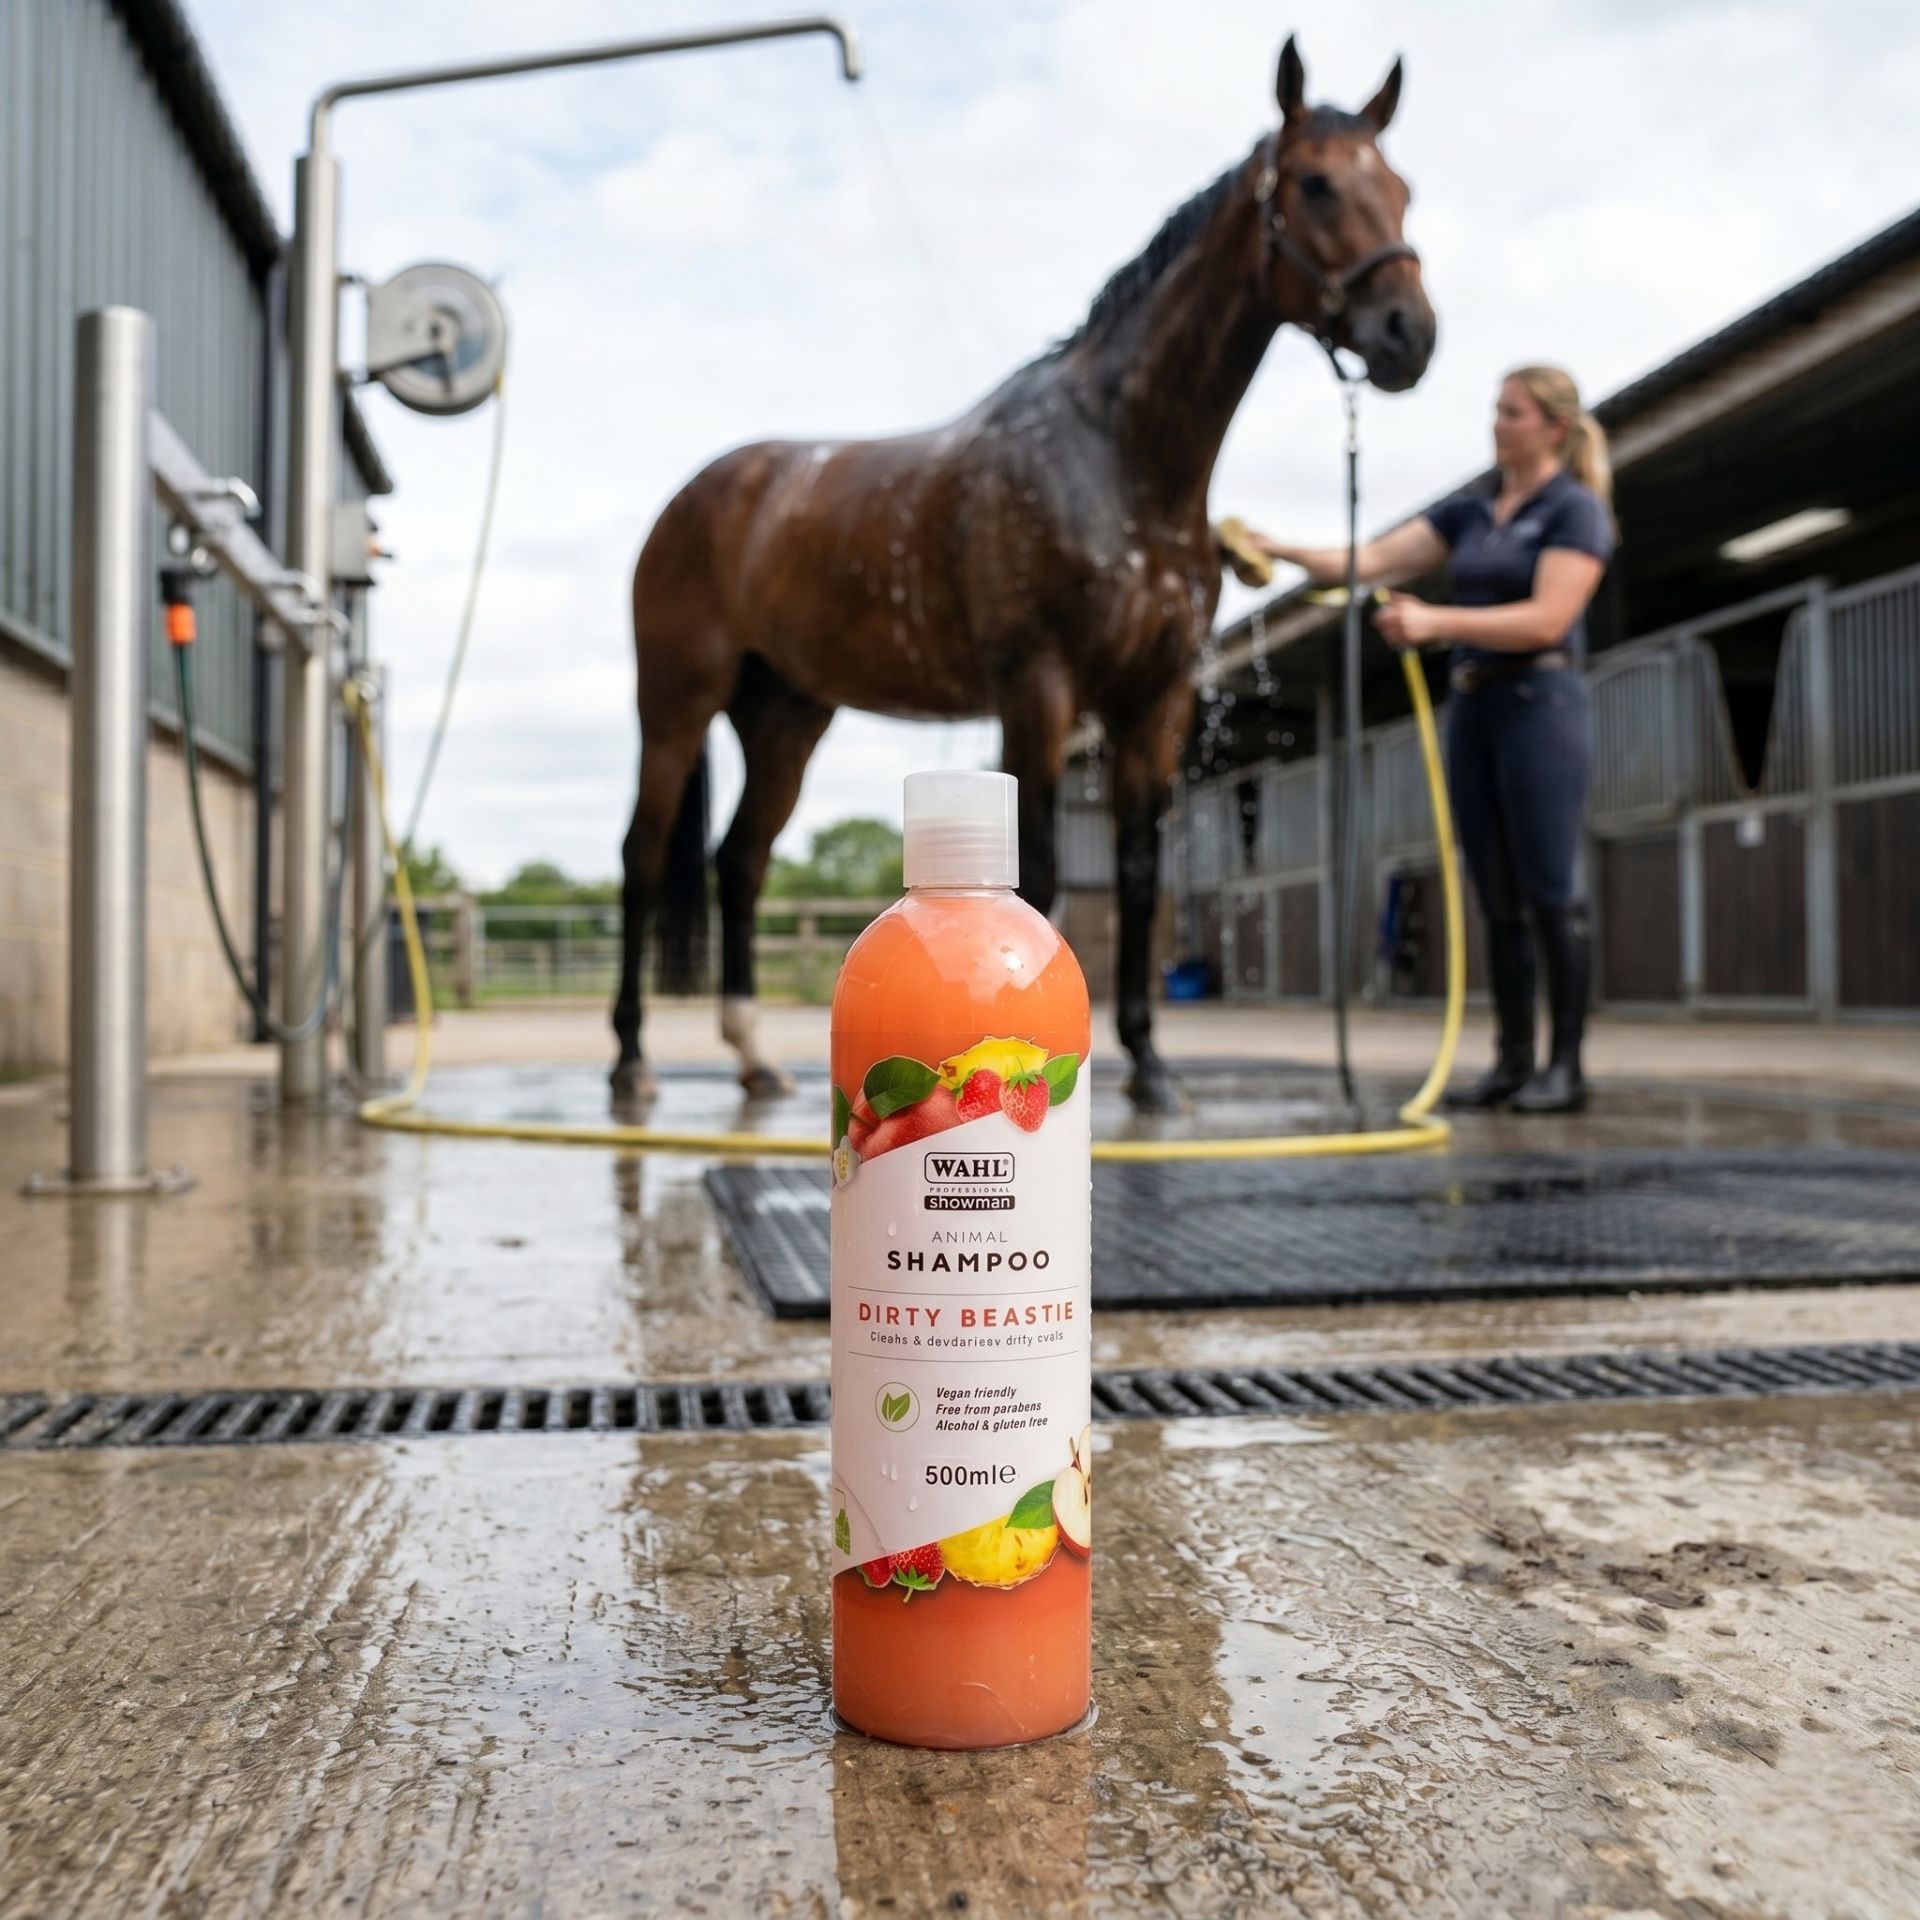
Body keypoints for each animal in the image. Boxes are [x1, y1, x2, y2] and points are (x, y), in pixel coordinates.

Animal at [611, 34, 1435, 1111]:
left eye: (1403, 188)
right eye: (1316, 184)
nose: (1409, 335)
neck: (1119, 459)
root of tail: (702, 494)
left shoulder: (1155, 696)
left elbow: (1138, 871)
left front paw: (1152, 1067)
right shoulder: (1038, 685)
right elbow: (1041, 866)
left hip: (787, 718)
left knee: (739, 862)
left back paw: (753, 1059)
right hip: (677, 701)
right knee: (641, 858)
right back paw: (632, 1062)